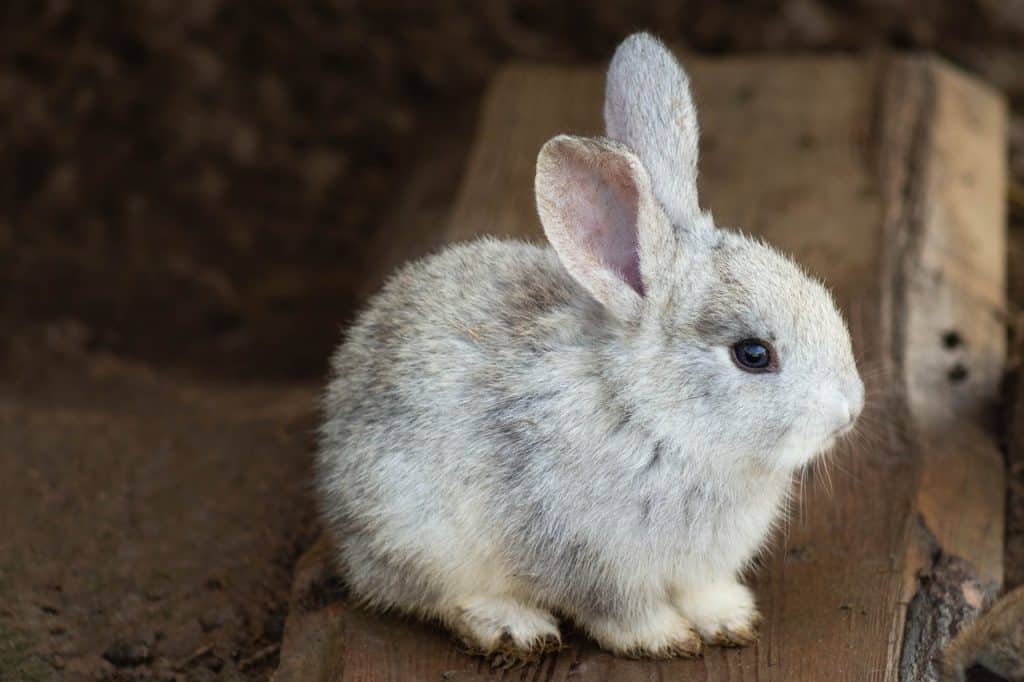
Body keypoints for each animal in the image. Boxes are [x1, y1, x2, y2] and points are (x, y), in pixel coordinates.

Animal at [316, 31, 864, 660]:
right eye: (753, 355)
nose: (851, 410)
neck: (652, 417)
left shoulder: (698, 567)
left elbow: (703, 591)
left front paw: (729, 620)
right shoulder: (589, 558)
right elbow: (619, 611)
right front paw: (665, 639)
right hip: (418, 532)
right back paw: (513, 626)